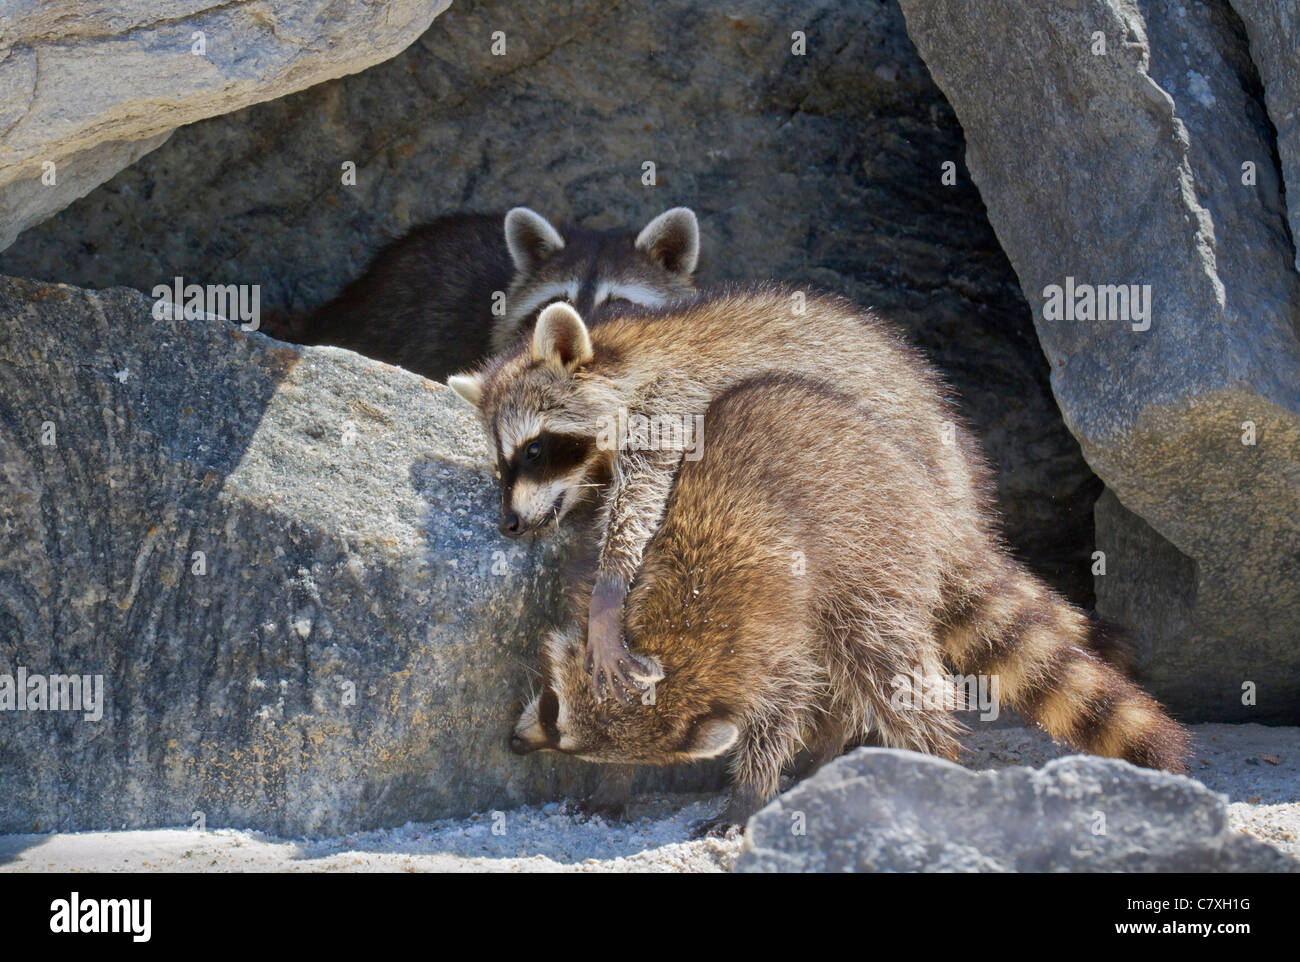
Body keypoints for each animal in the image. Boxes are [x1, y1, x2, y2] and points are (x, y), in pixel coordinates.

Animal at [512, 371, 1190, 832]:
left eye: (552, 714)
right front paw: (614, 781)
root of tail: (932, 501)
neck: (677, 640)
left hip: (875, 559)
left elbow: (781, 709)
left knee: (885, 666)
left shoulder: (769, 628)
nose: (516, 744)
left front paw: (749, 790)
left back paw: (924, 754)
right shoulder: (600, 582)